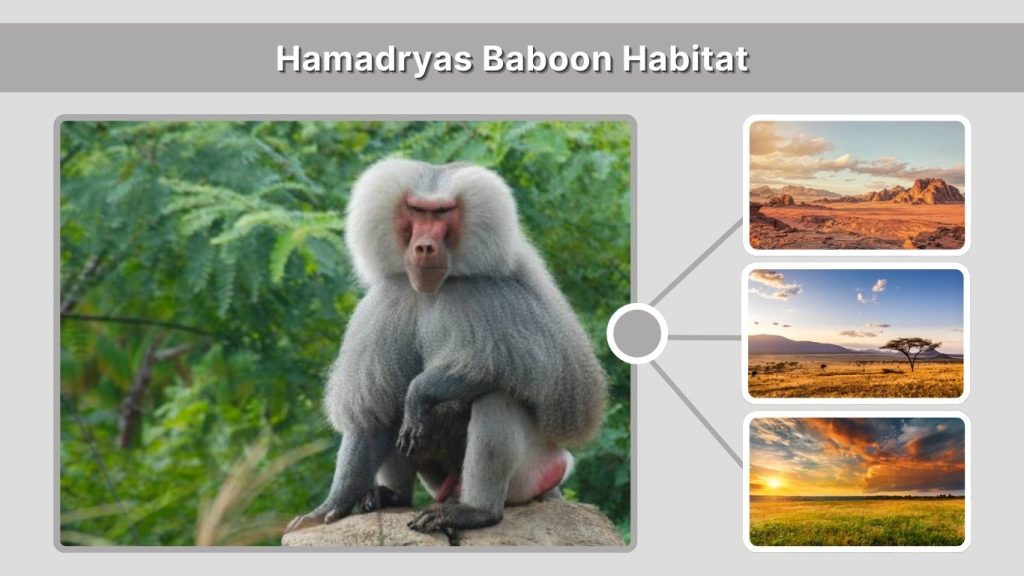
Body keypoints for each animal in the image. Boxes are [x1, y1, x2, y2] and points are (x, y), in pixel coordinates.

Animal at [286, 158, 608, 534]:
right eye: (417, 210)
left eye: (442, 213)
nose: (424, 247)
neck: (435, 289)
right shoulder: (388, 301)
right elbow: (373, 410)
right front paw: (331, 506)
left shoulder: (494, 298)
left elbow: (542, 375)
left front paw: (421, 394)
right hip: (441, 480)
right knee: (392, 403)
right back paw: (392, 497)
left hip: (534, 467)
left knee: (496, 397)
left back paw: (474, 511)